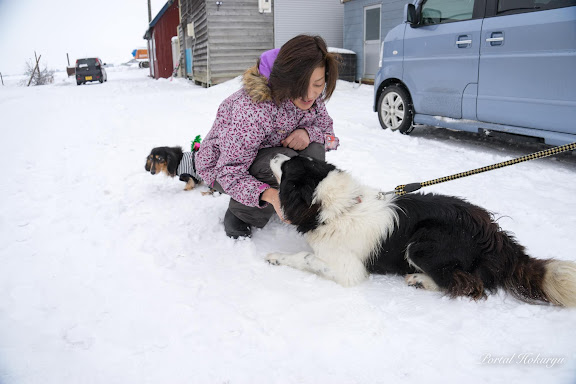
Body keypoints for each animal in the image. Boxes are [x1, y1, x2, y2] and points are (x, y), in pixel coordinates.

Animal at [268, 154, 576, 308]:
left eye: (286, 166)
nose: (274, 152)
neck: (337, 206)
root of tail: (494, 236)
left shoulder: (349, 270)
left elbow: (306, 258)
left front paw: (276, 257)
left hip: (421, 245)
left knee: (468, 285)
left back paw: (420, 280)